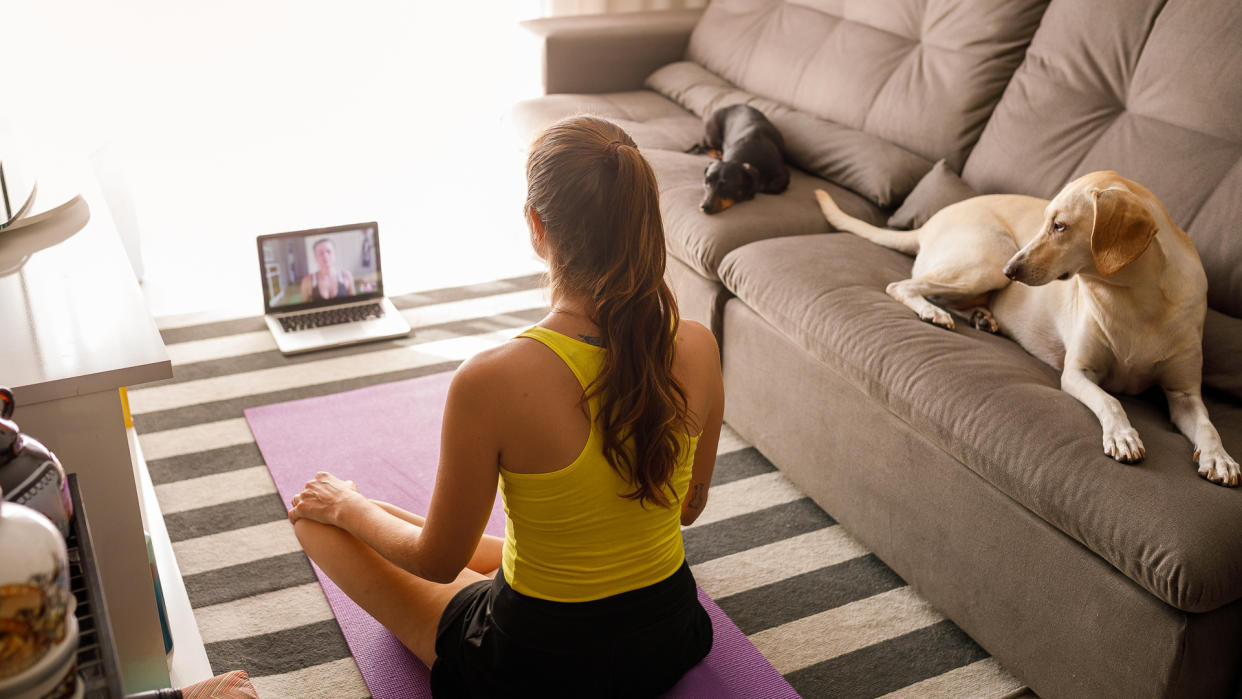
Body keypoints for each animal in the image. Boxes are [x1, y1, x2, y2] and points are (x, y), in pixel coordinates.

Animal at [819, 171, 1237, 486]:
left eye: (1060, 226)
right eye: (1045, 222)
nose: (1011, 271)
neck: (1135, 298)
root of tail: (931, 221)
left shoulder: (1184, 393)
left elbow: (1208, 426)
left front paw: (1219, 458)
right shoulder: (1077, 373)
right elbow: (1111, 401)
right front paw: (1122, 435)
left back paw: (980, 317)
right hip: (984, 261)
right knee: (902, 285)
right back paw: (934, 313)